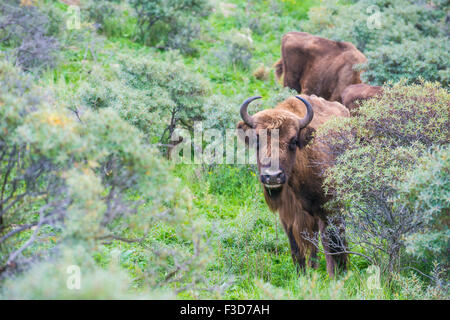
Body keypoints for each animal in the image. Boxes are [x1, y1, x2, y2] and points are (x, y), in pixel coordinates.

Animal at [237, 94, 350, 276]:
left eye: (293, 141)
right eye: (258, 141)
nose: (273, 177)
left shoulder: (329, 209)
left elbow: (333, 244)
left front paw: (338, 274)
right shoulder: (288, 216)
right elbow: (297, 248)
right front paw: (302, 275)